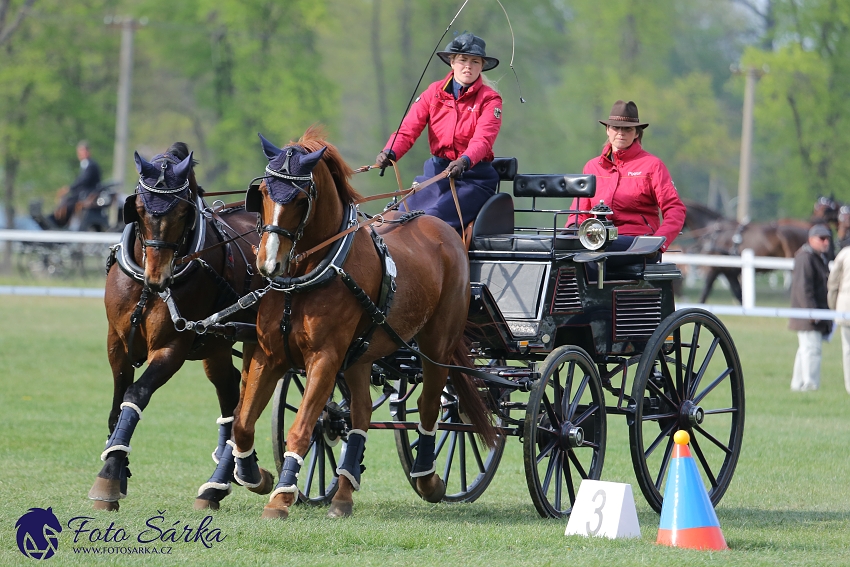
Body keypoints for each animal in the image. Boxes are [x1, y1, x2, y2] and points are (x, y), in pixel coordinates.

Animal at [88, 142, 264, 510]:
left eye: (184, 213)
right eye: (139, 208)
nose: (158, 278)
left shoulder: (171, 347)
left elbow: (135, 394)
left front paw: (109, 475)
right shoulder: (116, 342)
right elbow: (116, 403)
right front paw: (118, 467)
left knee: (245, 402)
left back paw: (224, 480)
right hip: (217, 346)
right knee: (230, 395)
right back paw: (230, 475)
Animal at [229, 127, 494, 520]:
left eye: (300, 198)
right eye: (261, 192)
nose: (268, 264)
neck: (311, 273)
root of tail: (445, 231)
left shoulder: (324, 359)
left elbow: (301, 427)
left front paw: (280, 497)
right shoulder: (270, 355)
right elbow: (243, 423)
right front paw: (255, 476)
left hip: (437, 346)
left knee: (431, 405)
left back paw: (427, 479)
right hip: (361, 355)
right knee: (362, 414)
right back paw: (343, 494)